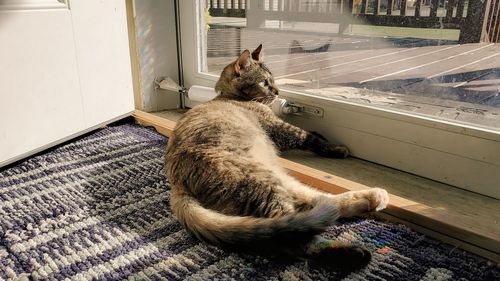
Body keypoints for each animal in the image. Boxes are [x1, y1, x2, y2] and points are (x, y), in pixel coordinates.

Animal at [166, 43, 388, 270]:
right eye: (264, 82)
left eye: (272, 79)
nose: (277, 91)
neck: (229, 96)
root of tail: (177, 184)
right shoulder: (279, 129)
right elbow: (307, 137)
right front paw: (335, 147)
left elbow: (312, 134)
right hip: (263, 184)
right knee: (292, 232)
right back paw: (349, 252)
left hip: (276, 178)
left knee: (318, 204)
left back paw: (371, 199)